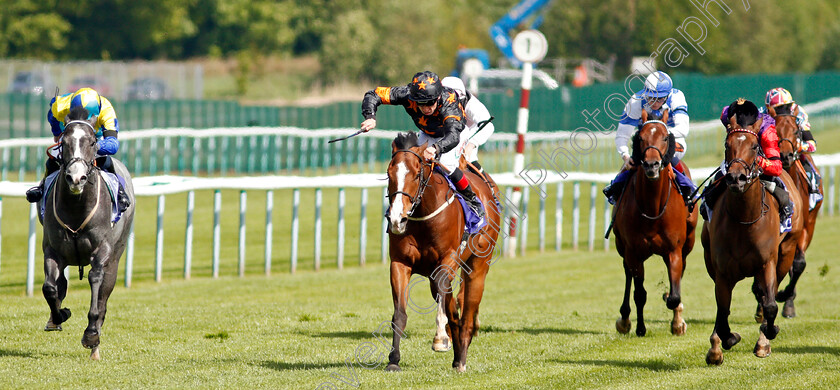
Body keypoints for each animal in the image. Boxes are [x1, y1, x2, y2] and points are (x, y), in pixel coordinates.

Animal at [40, 106, 135, 360]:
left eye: (92, 142)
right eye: (64, 142)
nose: (76, 178)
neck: (76, 207)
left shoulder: (102, 251)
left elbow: (96, 281)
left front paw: (91, 334)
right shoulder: (52, 250)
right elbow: (50, 288)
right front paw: (59, 315)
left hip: (116, 257)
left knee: (103, 297)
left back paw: (95, 346)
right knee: (60, 283)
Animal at [386, 133, 498, 374]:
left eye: (416, 174)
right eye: (389, 174)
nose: (397, 219)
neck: (422, 217)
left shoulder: (447, 260)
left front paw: (440, 339)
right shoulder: (400, 263)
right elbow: (399, 314)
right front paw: (393, 360)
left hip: (478, 267)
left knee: (467, 314)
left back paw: (462, 358)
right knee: (454, 311)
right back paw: (457, 356)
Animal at [608, 109, 700, 336]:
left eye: (665, 137)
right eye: (640, 137)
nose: (651, 165)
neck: (652, 208)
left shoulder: (674, 250)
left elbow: (675, 294)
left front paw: (676, 320)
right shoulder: (633, 250)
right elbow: (639, 293)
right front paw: (640, 327)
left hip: (688, 243)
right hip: (622, 246)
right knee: (628, 275)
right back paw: (624, 320)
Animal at [704, 107, 808, 366]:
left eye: (754, 146)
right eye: (727, 144)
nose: (736, 178)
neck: (744, 219)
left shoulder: (767, 262)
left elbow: (770, 305)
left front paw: (768, 334)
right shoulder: (721, 271)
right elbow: (722, 311)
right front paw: (723, 342)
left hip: (787, 250)